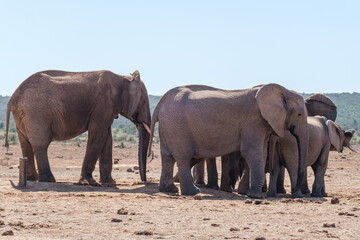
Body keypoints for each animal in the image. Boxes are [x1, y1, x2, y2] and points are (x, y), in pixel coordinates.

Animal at [5, 69, 152, 186]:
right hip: (36, 112)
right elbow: (98, 135)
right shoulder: (104, 104)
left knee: (25, 144)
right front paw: (90, 183)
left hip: (23, 115)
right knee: (41, 145)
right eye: (144, 102)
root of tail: (12, 98)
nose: (143, 181)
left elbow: (107, 138)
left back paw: (31, 178)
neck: (123, 78)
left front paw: (110, 183)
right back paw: (48, 180)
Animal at [148, 83, 308, 198]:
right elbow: (252, 152)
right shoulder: (253, 121)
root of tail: (159, 106)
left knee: (167, 157)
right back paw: (193, 192)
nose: (295, 191)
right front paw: (257, 196)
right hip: (177, 127)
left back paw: (169, 190)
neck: (283, 91)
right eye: (299, 114)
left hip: (169, 126)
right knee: (183, 157)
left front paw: (254, 194)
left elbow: (261, 152)